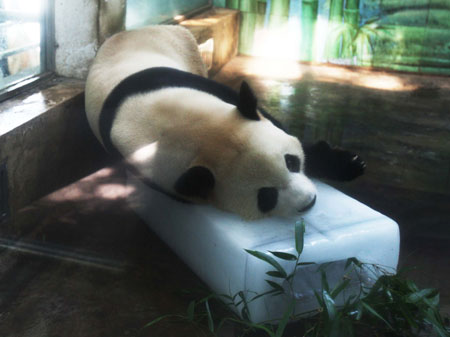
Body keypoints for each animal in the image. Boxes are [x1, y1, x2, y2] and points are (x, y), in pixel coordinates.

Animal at [85, 25, 366, 219]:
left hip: (189, 52)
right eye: (266, 196)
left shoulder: (207, 90)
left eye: (291, 162)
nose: (309, 201)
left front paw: (348, 163)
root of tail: (130, 31)